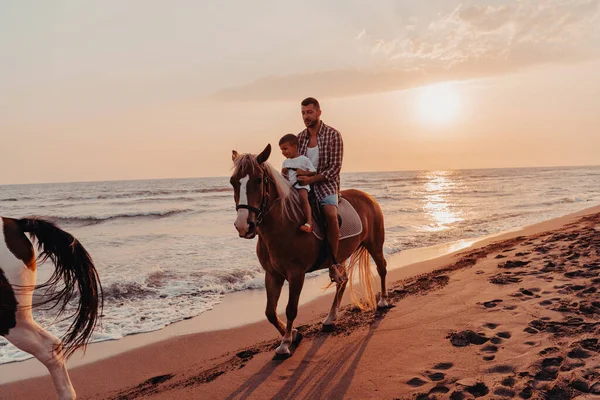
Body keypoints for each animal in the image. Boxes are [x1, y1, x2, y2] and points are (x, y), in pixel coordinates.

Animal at [230, 145, 390, 358]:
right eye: (233, 182)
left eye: (258, 179)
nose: (243, 226)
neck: (284, 224)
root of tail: (368, 198)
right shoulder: (272, 274)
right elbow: (270, 312)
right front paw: (294, 334)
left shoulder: (296, 275)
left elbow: (290, 309)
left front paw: (285, 343)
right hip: (340, 256)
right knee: (342, 281)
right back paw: (330, 318)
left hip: (375, 245)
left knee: (382, 268)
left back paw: (383, 302)